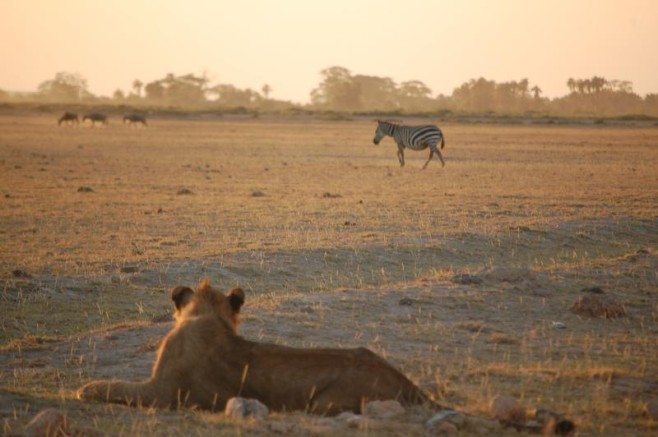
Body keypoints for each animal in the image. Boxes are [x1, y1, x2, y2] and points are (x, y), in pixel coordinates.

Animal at [77, 280, 438, 415]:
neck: (207, 316)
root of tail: (415, 389)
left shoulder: (162, 392)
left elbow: (114, 385)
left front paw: (85, 388)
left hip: (324, 402)